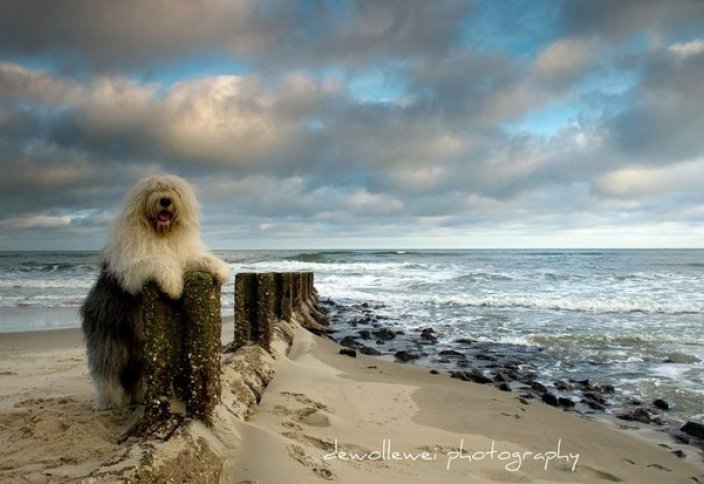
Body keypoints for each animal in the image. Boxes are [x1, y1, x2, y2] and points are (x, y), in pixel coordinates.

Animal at [81, 174, 228, 408]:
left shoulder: (182, 254)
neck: (161, 234)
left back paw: (142, 396)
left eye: (174, 190)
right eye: (153, 190)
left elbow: (195, 258)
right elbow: (158, 260)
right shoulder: (133, 264)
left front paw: (219, 268)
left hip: (144, 351)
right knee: (108, 372)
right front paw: (173, 285)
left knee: (139, 376)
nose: (165, 200)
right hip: (110, 338)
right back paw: (111, 401)